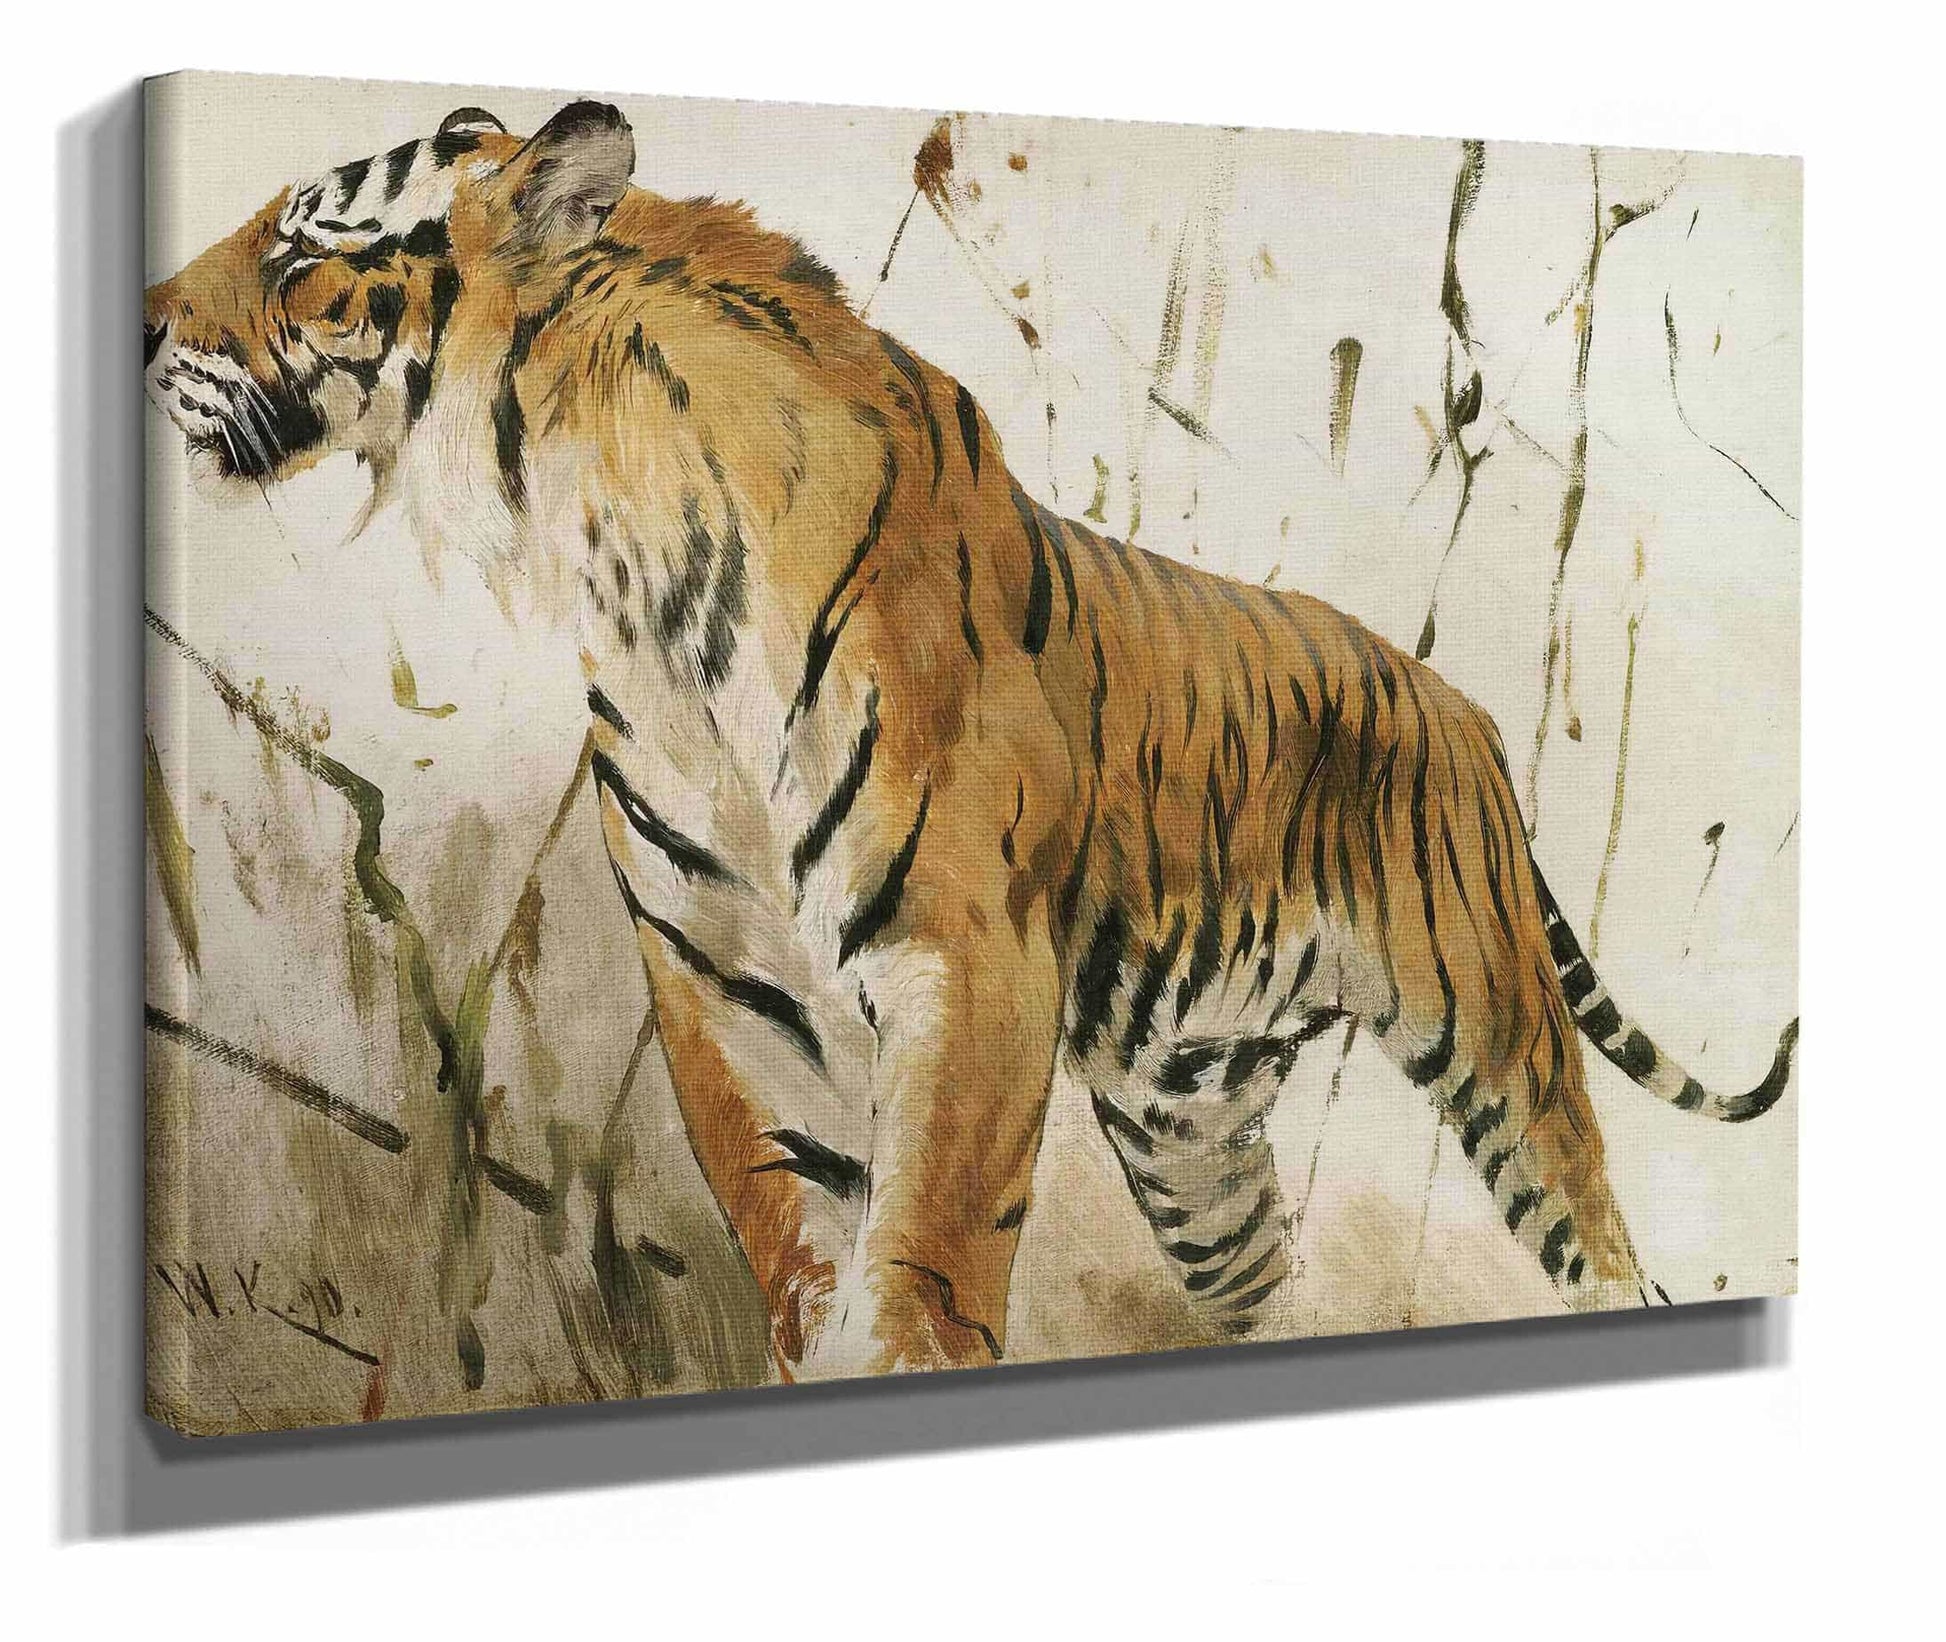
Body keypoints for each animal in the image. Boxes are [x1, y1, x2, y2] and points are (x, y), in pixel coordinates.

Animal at [144, 99, 1798, 1382]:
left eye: (301, 251)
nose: (147, 318)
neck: (620, 557)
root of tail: (1458, 706)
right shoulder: (720, 977)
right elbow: (799, 1237)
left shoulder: (966, 960)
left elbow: (926, 1249)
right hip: (1191, 1119)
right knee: (1271, 1284)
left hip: (1493, 1036)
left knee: (1601, 1247)